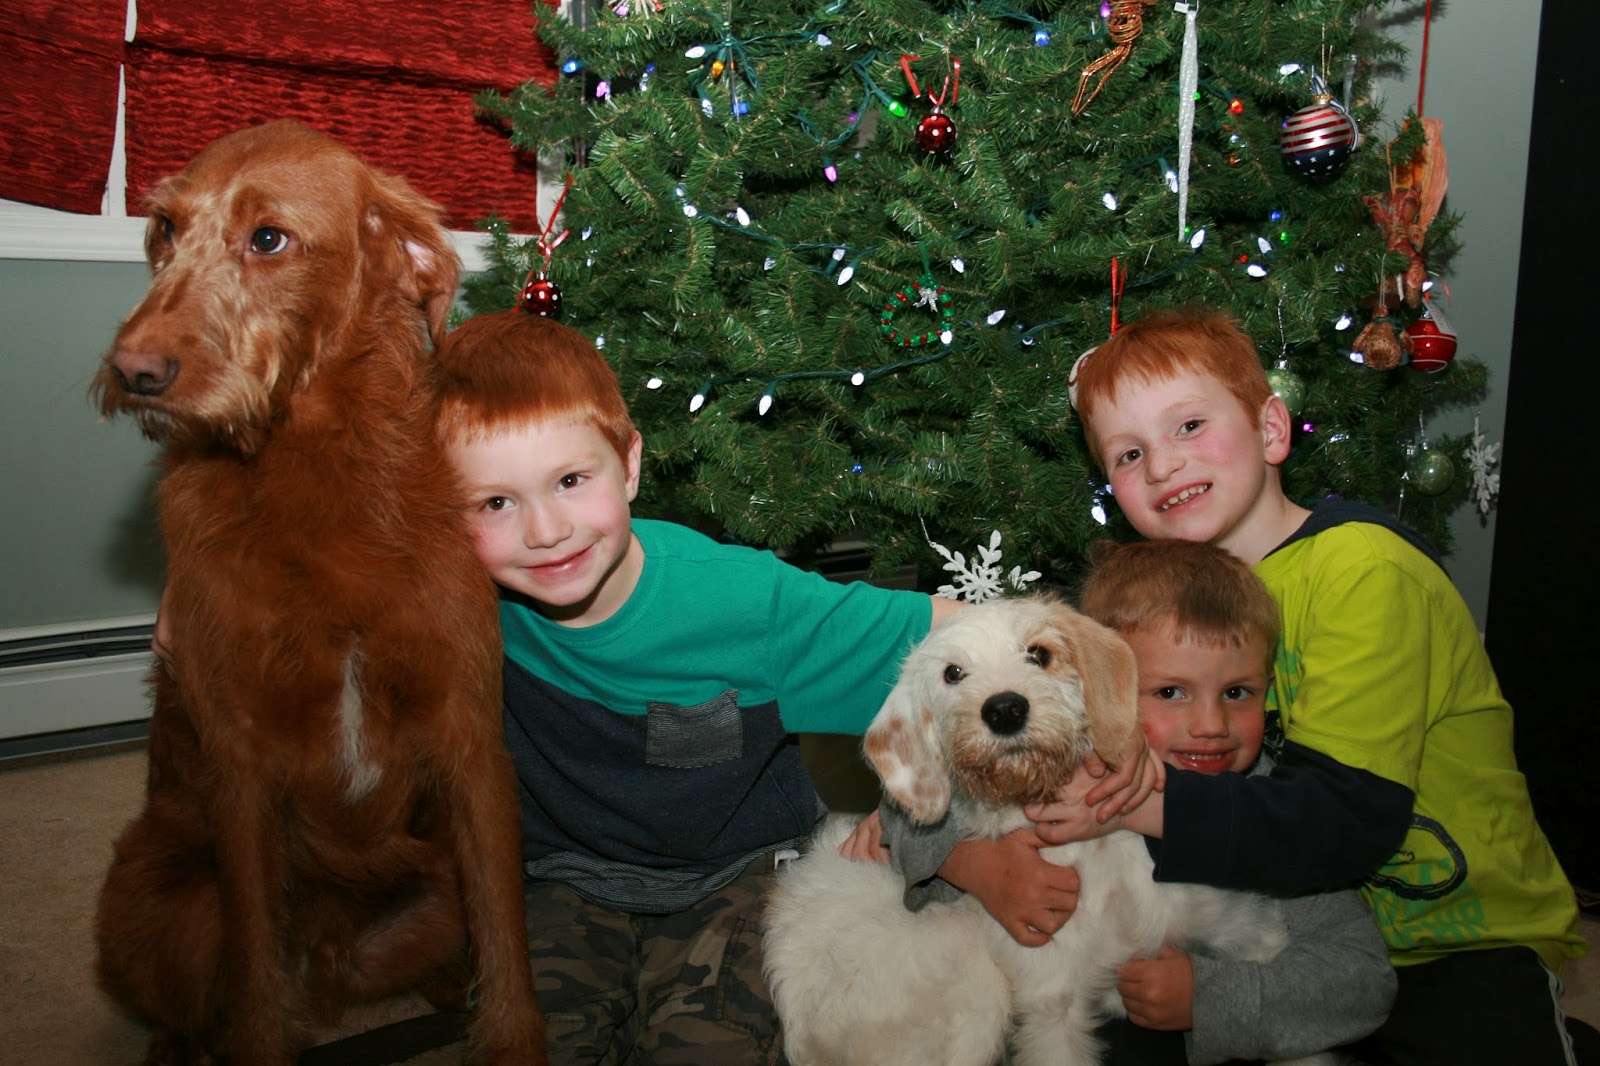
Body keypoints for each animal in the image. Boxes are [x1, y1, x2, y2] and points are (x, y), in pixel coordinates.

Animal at [91, 120, 545, 1065]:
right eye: (163, 230)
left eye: (269, 239)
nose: (132, 370)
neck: (315, 469)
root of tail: (334, 962)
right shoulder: (239, 768)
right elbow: (258, 993)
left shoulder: (470, 743)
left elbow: (509, 949)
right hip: (156, 910)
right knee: (198, 1007)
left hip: (432, 886)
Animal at [765, 596, 1319, 1066]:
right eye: (952, 673)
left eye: (1040, 653)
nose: (1005, 709)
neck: (1089, 860)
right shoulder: (1056, 1013)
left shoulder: (1245, 929)